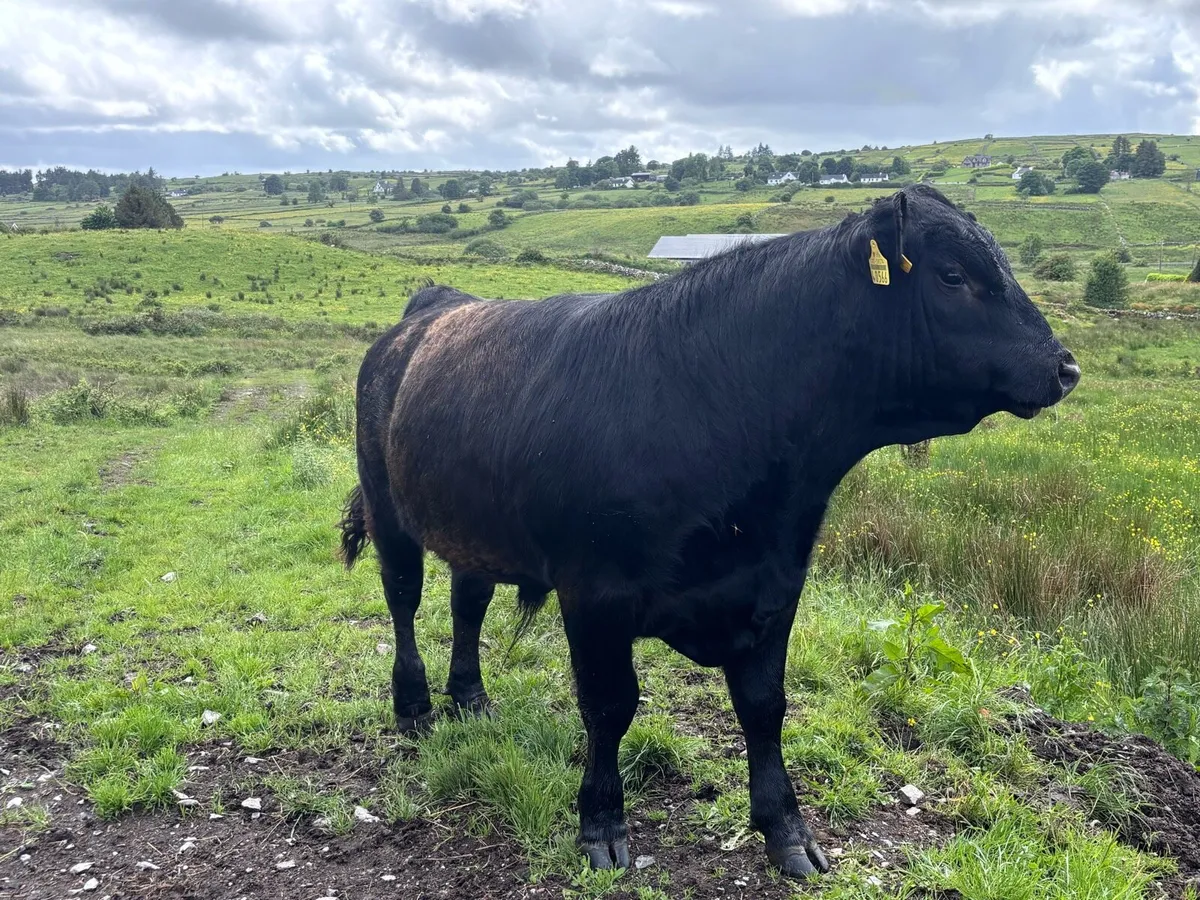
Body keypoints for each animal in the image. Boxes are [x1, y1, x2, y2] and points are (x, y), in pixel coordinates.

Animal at [339, 184, 1080, 879]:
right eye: (953, 275)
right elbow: (609, 705)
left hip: (472, 526)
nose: (1064, 365)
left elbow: (763, 706)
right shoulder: (595, 595)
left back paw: (470, 698)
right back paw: (414, 705)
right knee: (403, 598)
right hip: (388, 506)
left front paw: (786, 830)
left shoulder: (775, 587)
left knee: (468, 602)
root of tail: (431, 306)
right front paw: (602, 825)